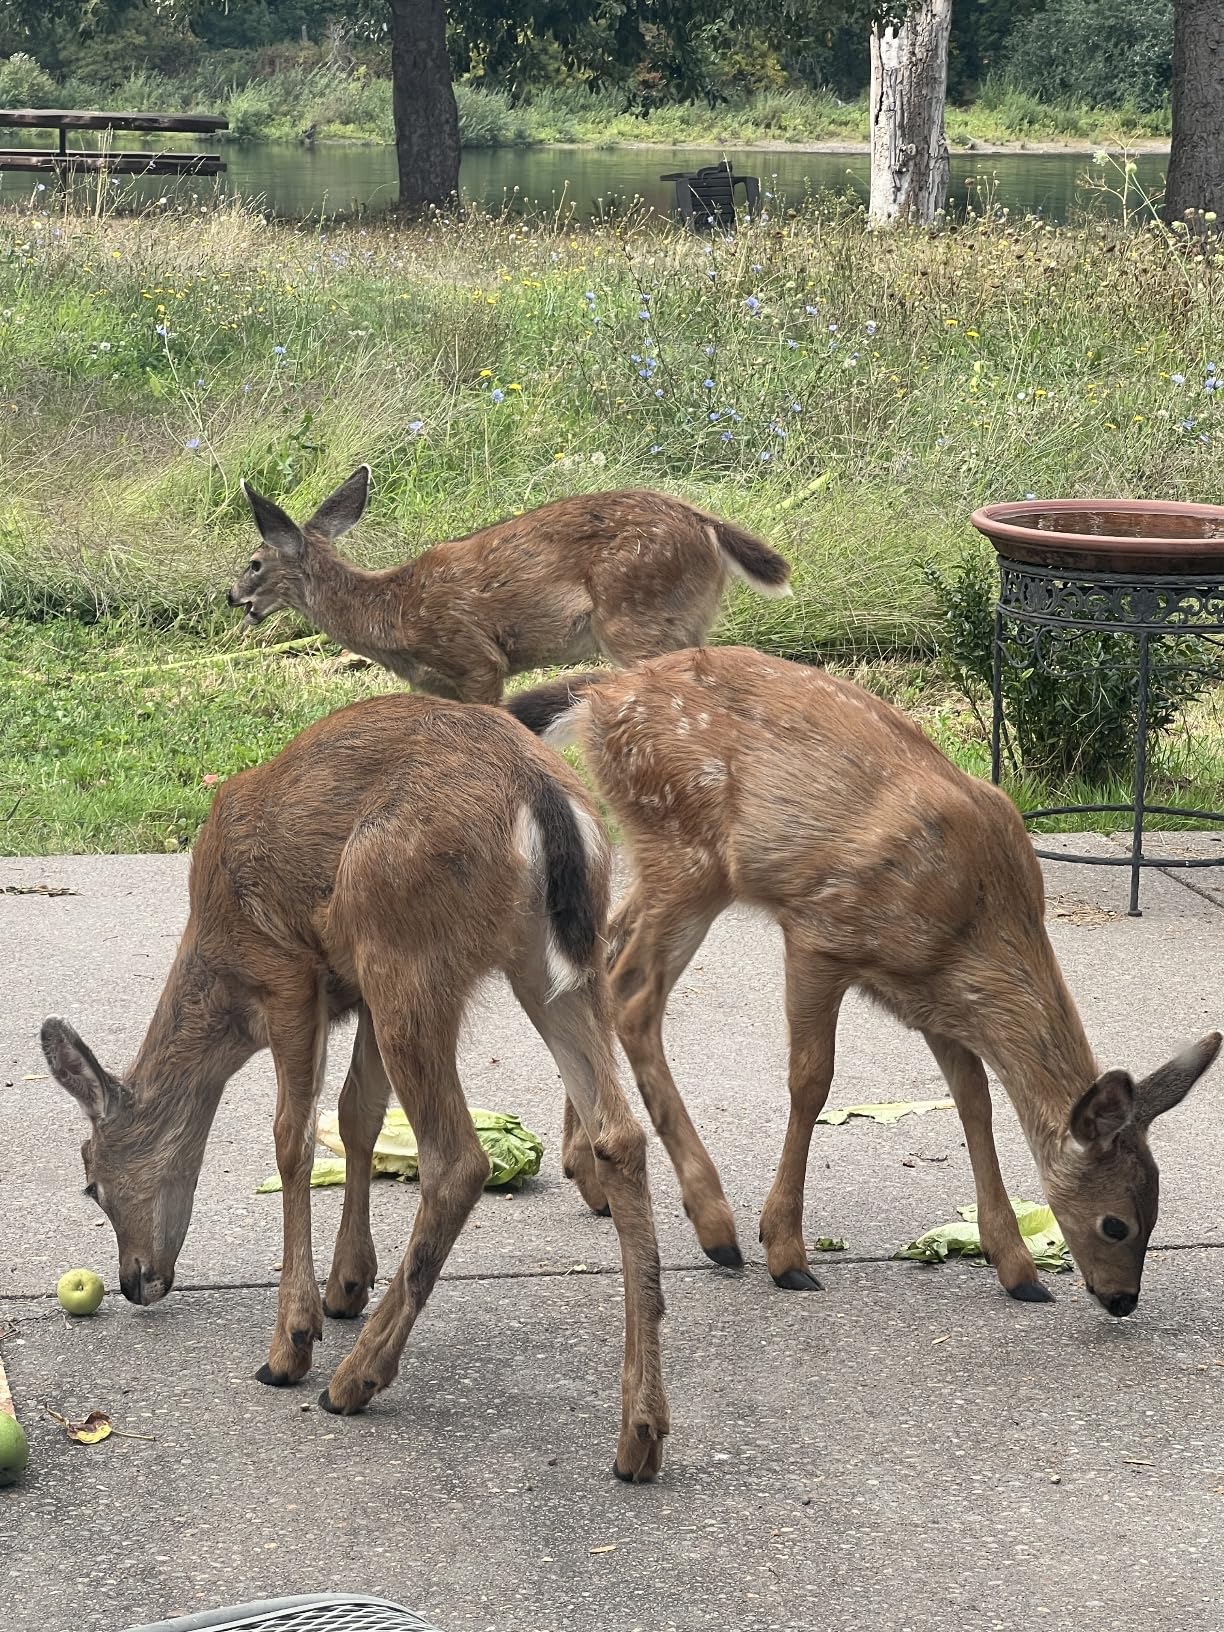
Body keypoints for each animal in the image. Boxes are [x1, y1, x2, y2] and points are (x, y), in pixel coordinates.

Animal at [39, 692, 669, 1482]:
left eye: (90, 1182)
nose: (133, 1280)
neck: (218, 970)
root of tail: (545, 798)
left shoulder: (287, 974)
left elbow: (294, 1138)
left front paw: (292, 1340)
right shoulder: (355, 993)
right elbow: (356, 1113)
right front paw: (345, 1284)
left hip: (402, 942)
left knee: (458, 1159)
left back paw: (353, 1379)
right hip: (547, 965)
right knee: (620, 1135)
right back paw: (639, 1437)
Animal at [227, 467, 791, 704]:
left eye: (253, 563)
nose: (231, 597)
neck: (391, 613)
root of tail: (707, 524)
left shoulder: (475, 657)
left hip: (636, 619)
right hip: (686, 620)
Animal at [507, 646, 1222, 1316]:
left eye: (1156, 1213)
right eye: (1115, 1223)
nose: (1122, 1299)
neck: (974, 922)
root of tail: (604, 691)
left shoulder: (936, 997)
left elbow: (974, 1098)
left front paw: (1016, 1267)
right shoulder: (819, 932)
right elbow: (811, 1082)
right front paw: (785, 1251)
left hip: (674, 864)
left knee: (604, 951)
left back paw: (588, 1170)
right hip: (687, 850)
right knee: (633, 995)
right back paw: (716, 1226)